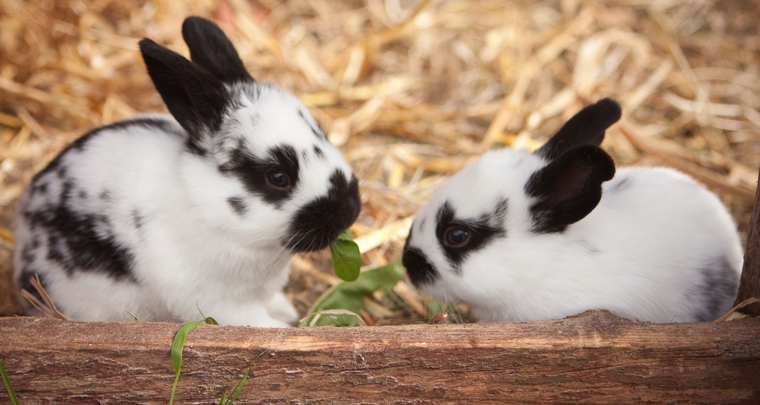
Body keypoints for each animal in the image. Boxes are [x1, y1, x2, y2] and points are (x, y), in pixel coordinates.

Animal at [13, 15, 364, 326]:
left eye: (321, 131)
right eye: (277, 177)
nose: (349, 210)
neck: (206, 207)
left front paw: (287, 311)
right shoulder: (220, 302)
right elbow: (256, 323)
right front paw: (285, 327)